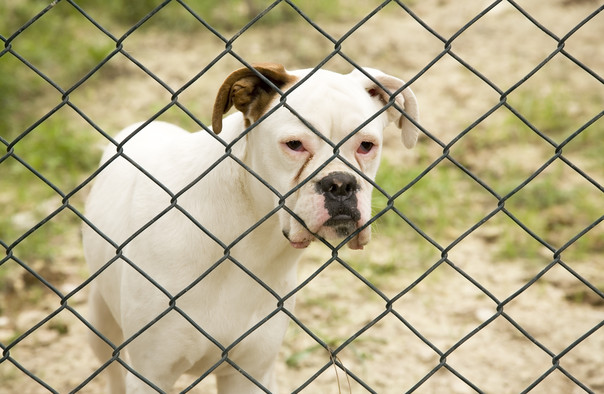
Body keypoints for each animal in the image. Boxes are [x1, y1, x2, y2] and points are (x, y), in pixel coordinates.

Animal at [81, 63, 420, 392]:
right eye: (294, 144)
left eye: (367, 146)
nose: (340, 184)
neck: (249, 244)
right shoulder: (151, 374)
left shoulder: (249, 373)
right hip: (101, 328)